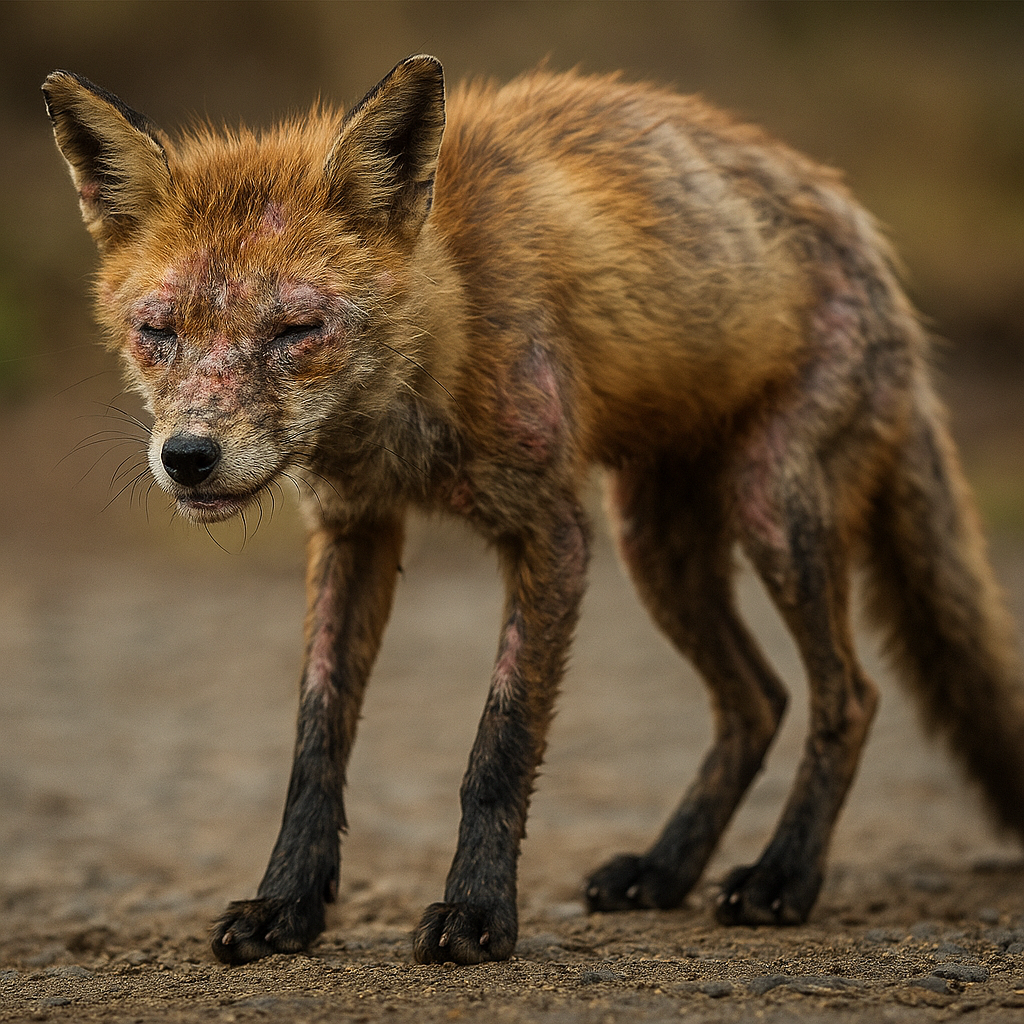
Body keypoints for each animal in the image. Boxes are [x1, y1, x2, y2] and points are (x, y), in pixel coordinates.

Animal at [43, 55, 1024, 967]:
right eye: (158, 332)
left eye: (295, 331)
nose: (188, 458)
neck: (438, 350)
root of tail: (866, 231)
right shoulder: (354, 528)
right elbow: (315, 743)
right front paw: (287, 903)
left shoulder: (550, 530)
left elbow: (501, 745)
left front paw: (478, 913)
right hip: (654, 546)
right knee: (759, 700)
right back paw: (666, 869)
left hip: (766, 510)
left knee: (847, 696)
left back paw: (782, 876)